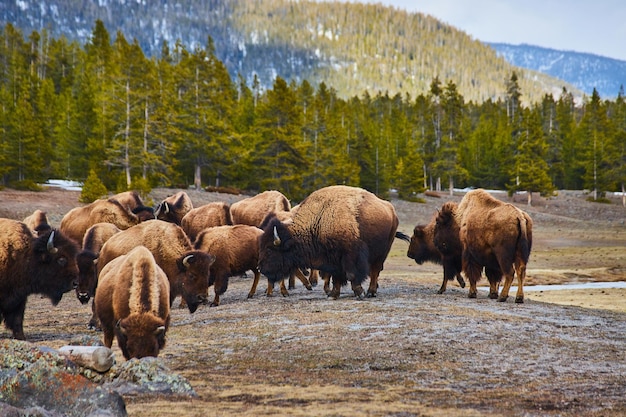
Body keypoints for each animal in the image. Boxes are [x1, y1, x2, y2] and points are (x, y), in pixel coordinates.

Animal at [256, 185, 408, 300]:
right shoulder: (333, 260)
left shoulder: (350, 255)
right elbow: (337, 277)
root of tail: (390, 209)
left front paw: (359, 292)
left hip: (382, 251)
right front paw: (334, 294)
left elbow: (351, 274)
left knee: (375, 270)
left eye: (269, 249)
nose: (260, 267)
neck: (319, 220)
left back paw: (371, 292)